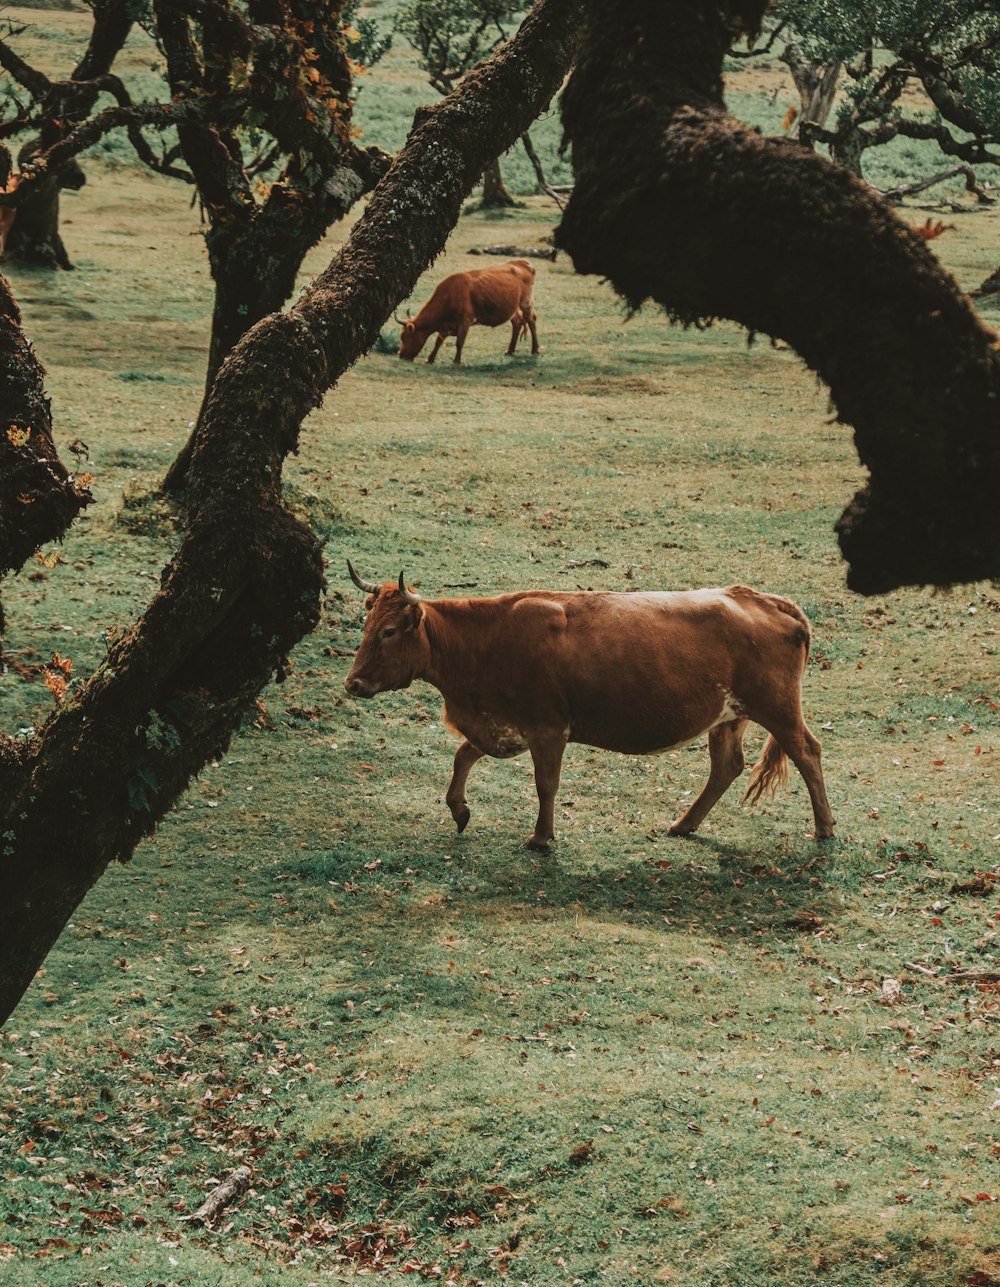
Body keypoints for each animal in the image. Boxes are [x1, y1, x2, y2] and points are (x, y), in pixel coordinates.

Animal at [342, 566, 833, 849]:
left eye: (388, 631)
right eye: (366, 624)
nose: (353, 682)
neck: (488, 640)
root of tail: (762, 599)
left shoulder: (547, 729)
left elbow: (546, 785)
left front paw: (541, 838)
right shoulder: (502, 725)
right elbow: (463, 755)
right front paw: (459, 809)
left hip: (778, 709)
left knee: (807, 752)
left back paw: (825, 827)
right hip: (728, 716)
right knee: (726, 767)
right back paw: (683, 824)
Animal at [396, 257, 537, 365]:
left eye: (403, 336)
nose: (400, 355)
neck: (450, 293)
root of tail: (522, 262)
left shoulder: (465, 320)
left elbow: (459, 342)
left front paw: (456, 361)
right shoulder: (446, 325)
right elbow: (438, 341)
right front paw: (430, 359)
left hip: (526, 302)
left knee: (531, 321)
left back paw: (535, 350)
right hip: (513, 307)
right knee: (517, 322)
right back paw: (510, 350)